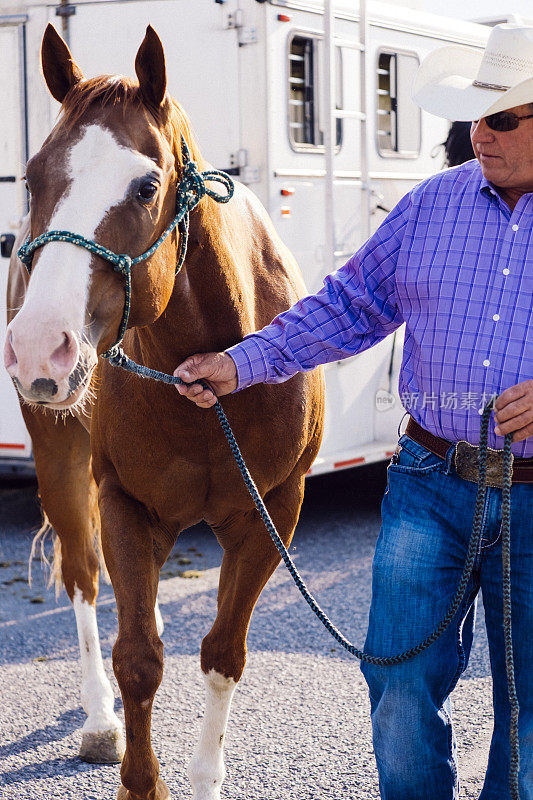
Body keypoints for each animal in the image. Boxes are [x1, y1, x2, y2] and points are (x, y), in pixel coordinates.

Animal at [5, 25, 324, 800]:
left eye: (147, 185)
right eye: (31, 176)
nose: (40, 346)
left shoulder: (272, 511)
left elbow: (223, 653)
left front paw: (205, 776)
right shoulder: (122, 501)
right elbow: (138, 659)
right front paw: (138, 775)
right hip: (62, 459)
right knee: (86, 579)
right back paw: (99, 718)